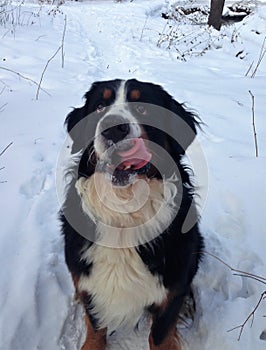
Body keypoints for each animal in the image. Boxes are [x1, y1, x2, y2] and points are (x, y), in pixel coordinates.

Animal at [60, 79, 205, 350]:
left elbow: (160, 336)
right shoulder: (91, 285)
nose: (113, 129)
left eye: (143, 108)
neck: (125, 214)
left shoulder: (169, 293)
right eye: (100, 106)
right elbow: (95, 328)